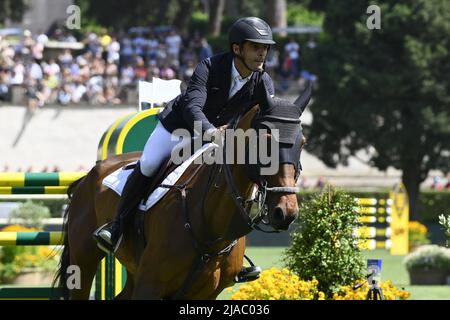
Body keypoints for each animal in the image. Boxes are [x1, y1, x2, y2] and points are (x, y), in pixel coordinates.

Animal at [54, 84, 312, 298]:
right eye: (266, 141)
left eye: (302, 143)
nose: (285, 212)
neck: (209, 224)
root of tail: (90, 174)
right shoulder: (151, 284)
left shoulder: (205, 293)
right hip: (84, 259)